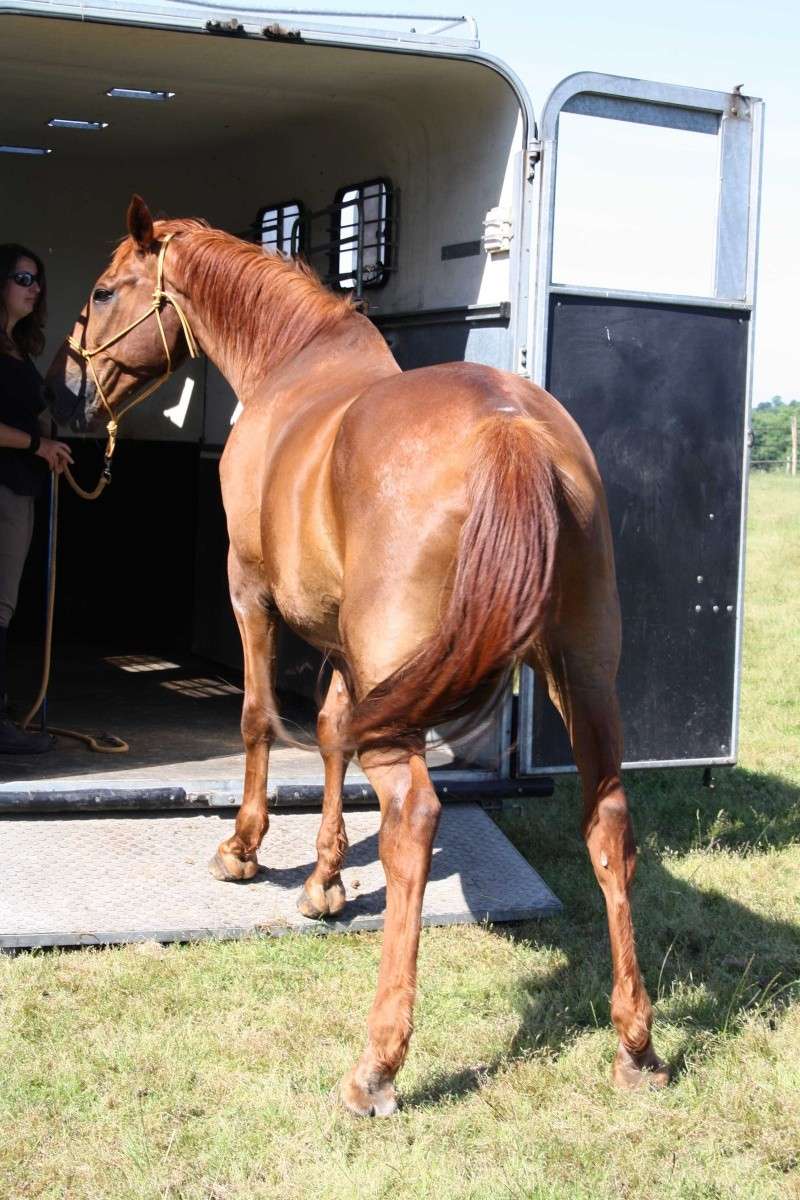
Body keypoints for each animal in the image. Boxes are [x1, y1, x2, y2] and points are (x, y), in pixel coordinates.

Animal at [45, 196, 671, 1113]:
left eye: (103, 289)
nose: (71, 387)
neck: (294, 367)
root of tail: (512, 431)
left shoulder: (251, 594)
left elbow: (259, 720)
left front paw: (246, 851)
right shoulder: (347, 643)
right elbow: (335, 733)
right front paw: (326, 879)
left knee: (413, 815)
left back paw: (377, 1064)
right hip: (583, 677)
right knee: (608, 819)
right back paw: (636, 1045)